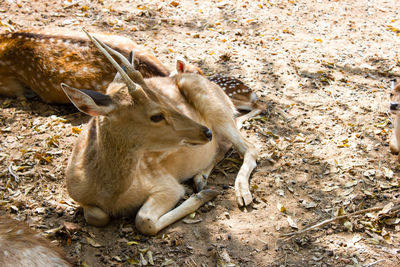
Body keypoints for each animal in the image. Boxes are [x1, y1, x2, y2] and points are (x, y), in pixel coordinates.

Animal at [61, 29, 258, 237]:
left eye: (162, 99)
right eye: (156, 116)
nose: (206, 132)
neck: (109, 194)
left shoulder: (166, 184)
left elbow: (143, 220)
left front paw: (204, 195)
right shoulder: (78, 196)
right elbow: (96, 216)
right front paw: (203, 191)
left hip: (216, 107)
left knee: (250, 147)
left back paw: (241, 193)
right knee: (226, 145)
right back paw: (201, 179)